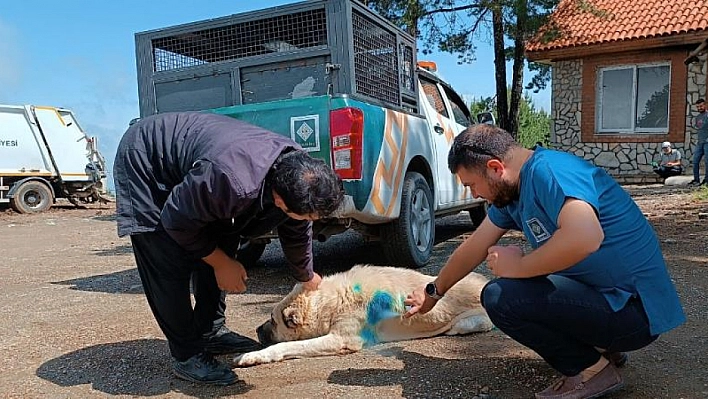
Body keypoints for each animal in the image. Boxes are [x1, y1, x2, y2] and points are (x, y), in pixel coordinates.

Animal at [234, 268, 492, 368]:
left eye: (272, 319)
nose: (256, 330)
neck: (333, 299)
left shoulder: (340, 339)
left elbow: (287, 346)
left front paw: (253, 356)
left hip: (474, 321)